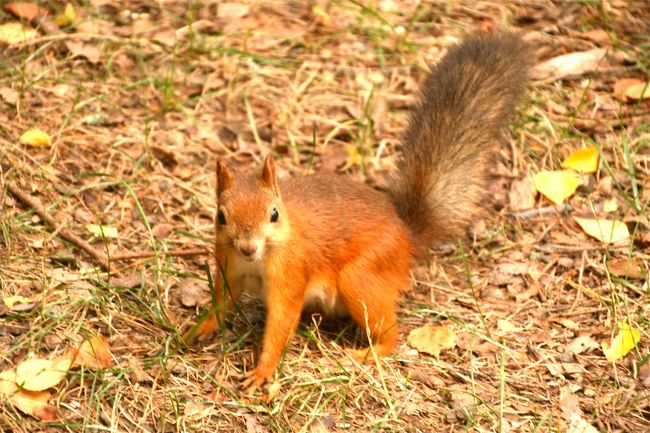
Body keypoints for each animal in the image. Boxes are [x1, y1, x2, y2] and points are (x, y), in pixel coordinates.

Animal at [190, 32, 528, 390]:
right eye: (220, 216)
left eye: (274, 214)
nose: (247, 246)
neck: (257, 260)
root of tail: (407, 235)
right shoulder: (228, 266)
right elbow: (222, 301)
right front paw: (197, 329)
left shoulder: (290, 275)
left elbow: (281, 322)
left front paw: (263, 372)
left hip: (361, 276)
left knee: (390, 330)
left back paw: (369, 353)